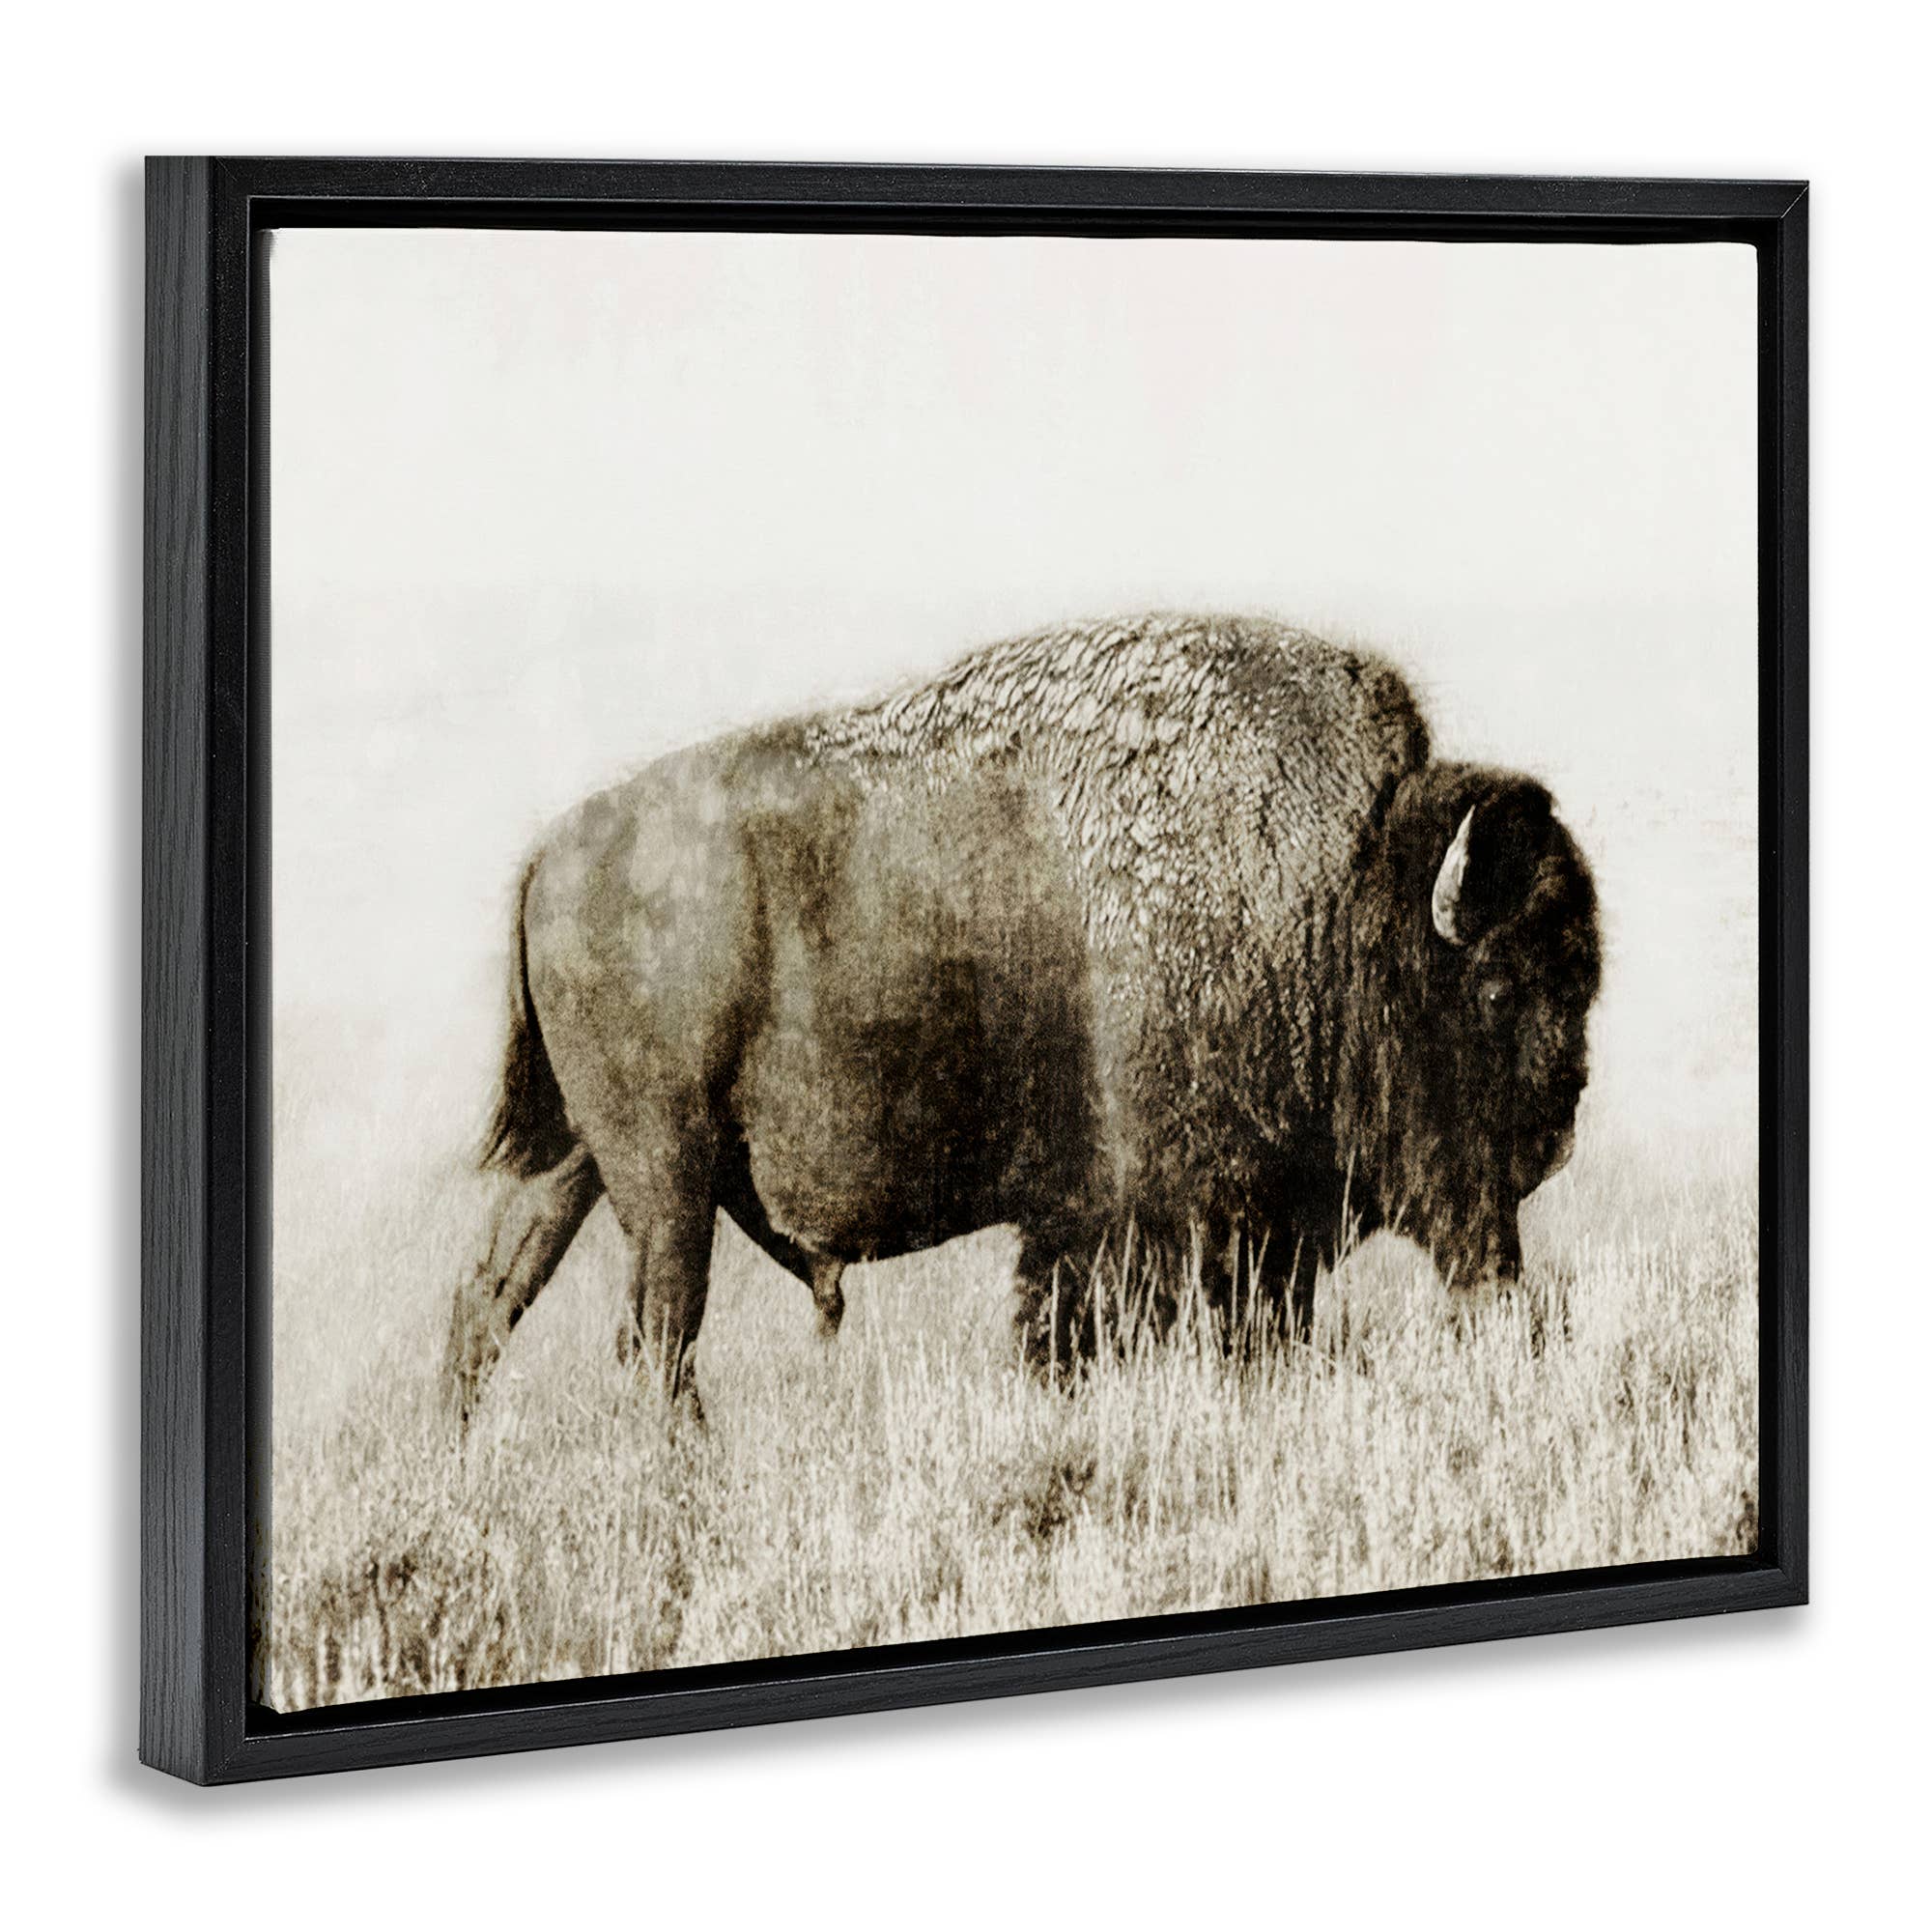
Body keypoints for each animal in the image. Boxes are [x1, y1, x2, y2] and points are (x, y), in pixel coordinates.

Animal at [444, 613, 1601, 1419]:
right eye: (1496, 989)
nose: (1552, 1137)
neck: (1340, 888)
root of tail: (549, 855)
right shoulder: (1180, 1222)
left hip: (579, 1163)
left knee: (490, 1300)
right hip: (663, 1176)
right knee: (654, 1334)